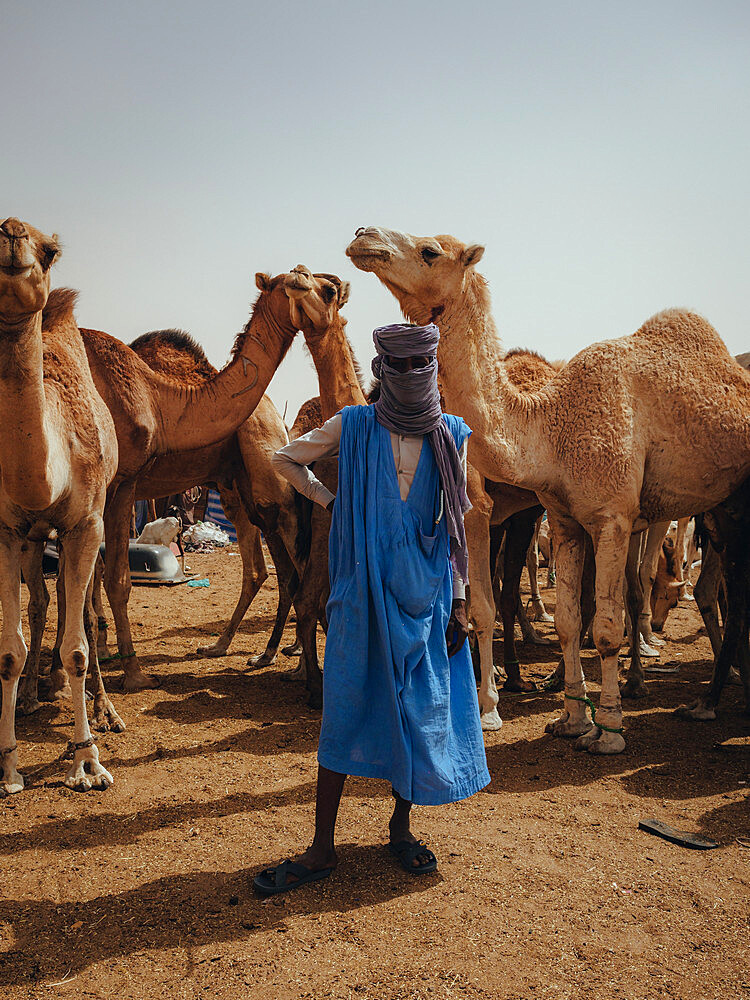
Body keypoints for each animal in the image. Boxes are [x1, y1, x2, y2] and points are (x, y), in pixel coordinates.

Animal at [348, 227, 750, 752]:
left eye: (430, 251)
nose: (363, 236)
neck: (551, 426)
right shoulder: (562, 520)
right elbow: (568, 622)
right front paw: (571, 720)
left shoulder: (611, 516)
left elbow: (605, 626)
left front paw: (609, 732)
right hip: (722, 507)